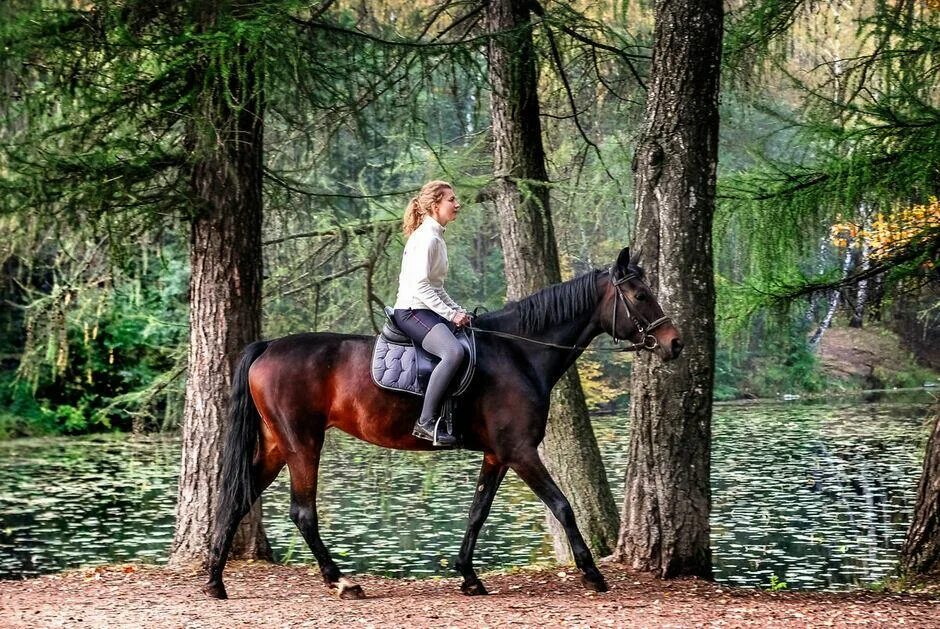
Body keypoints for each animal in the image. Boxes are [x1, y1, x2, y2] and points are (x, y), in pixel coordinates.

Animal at [204, 245, 684, 600]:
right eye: (640, 295)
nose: (674, 343)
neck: (519, 353)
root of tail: (267, 347)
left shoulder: (497, 454)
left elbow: (477, 512)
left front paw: (469, 577)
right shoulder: (521, 452)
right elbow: (562, 505)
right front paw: (592, 573)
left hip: (276, 444)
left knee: (238, 499)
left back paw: (215, 580)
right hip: (303, 443)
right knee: (302, 512)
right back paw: (341, 581)